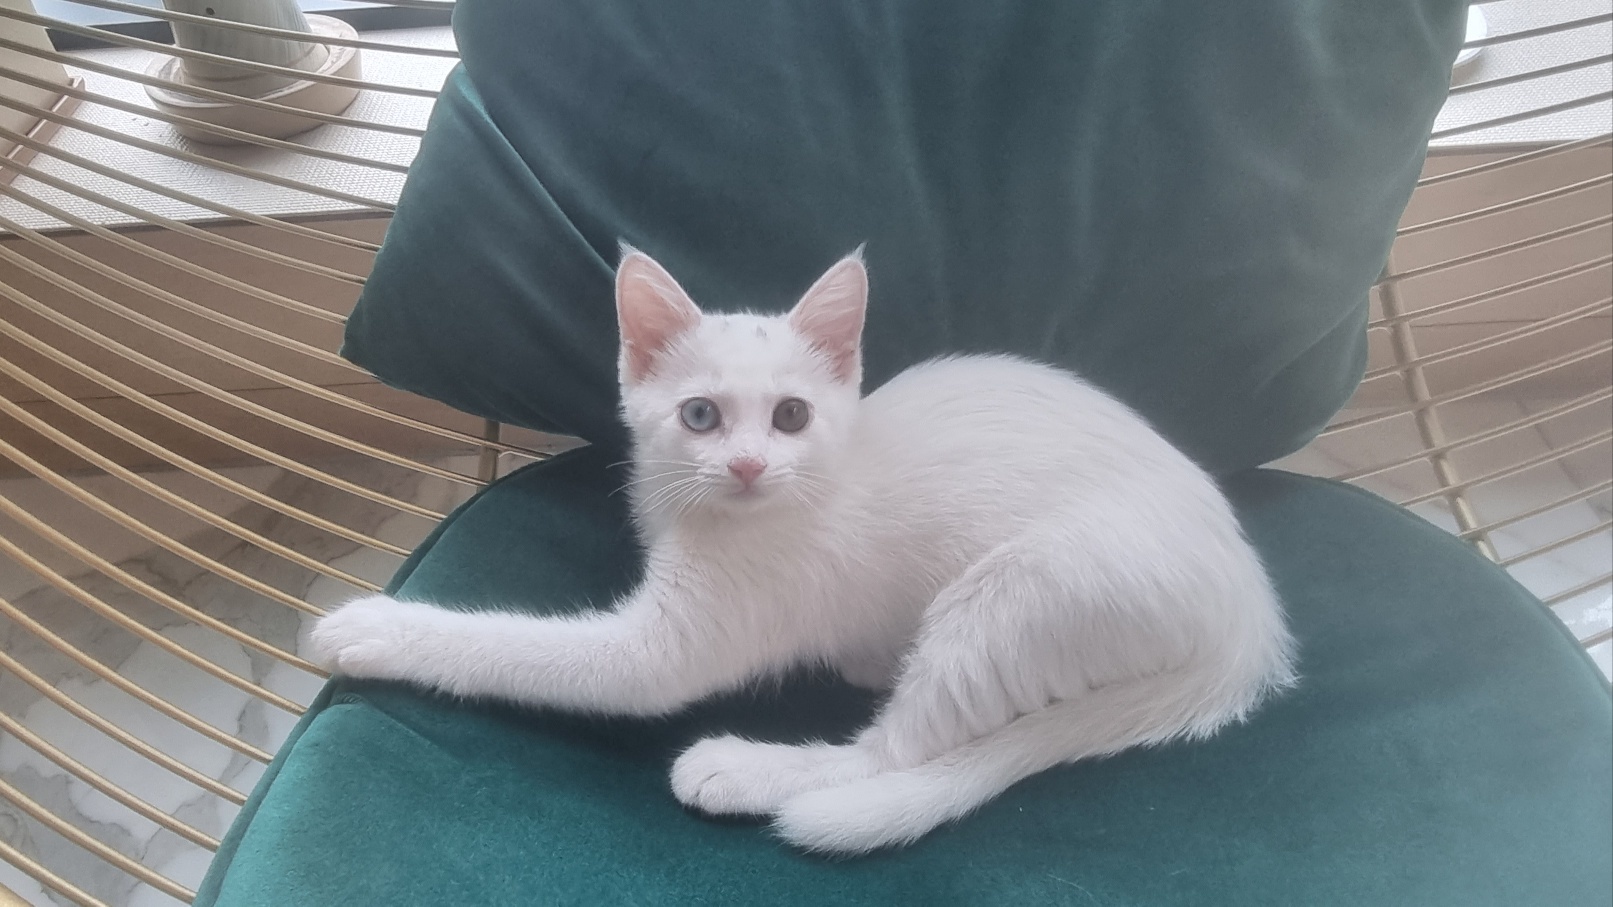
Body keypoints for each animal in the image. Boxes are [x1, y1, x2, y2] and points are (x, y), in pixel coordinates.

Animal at [311, 247, 1297, 855]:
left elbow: (529, 651)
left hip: (1024, 587)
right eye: (699, 415)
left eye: (790, 415)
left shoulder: (668, 648)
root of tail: (1248, 620)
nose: (748, 463)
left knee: (889, 754)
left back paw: (745, 766)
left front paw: (376, 628)